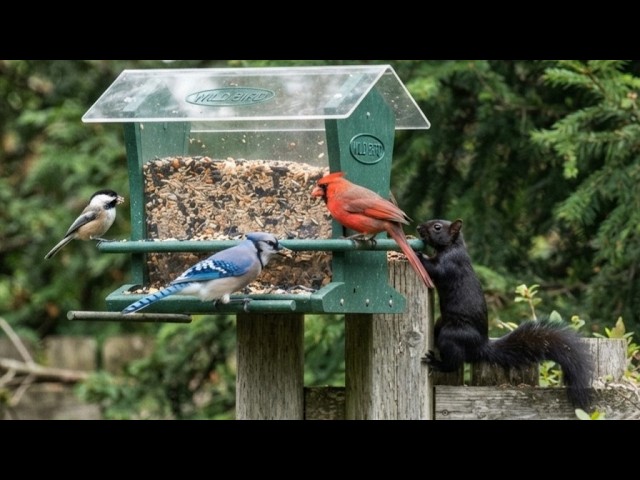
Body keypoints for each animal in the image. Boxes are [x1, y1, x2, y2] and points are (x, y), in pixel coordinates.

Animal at [416, 218, 593, 410]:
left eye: (437, 227)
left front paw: (418, 255)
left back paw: (436, 362)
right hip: (442, 322)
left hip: (452, 335)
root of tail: (481, 346)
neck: (452, 246)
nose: (418, 227)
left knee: (454, 363)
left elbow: (435, 268)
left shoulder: (450, 263)